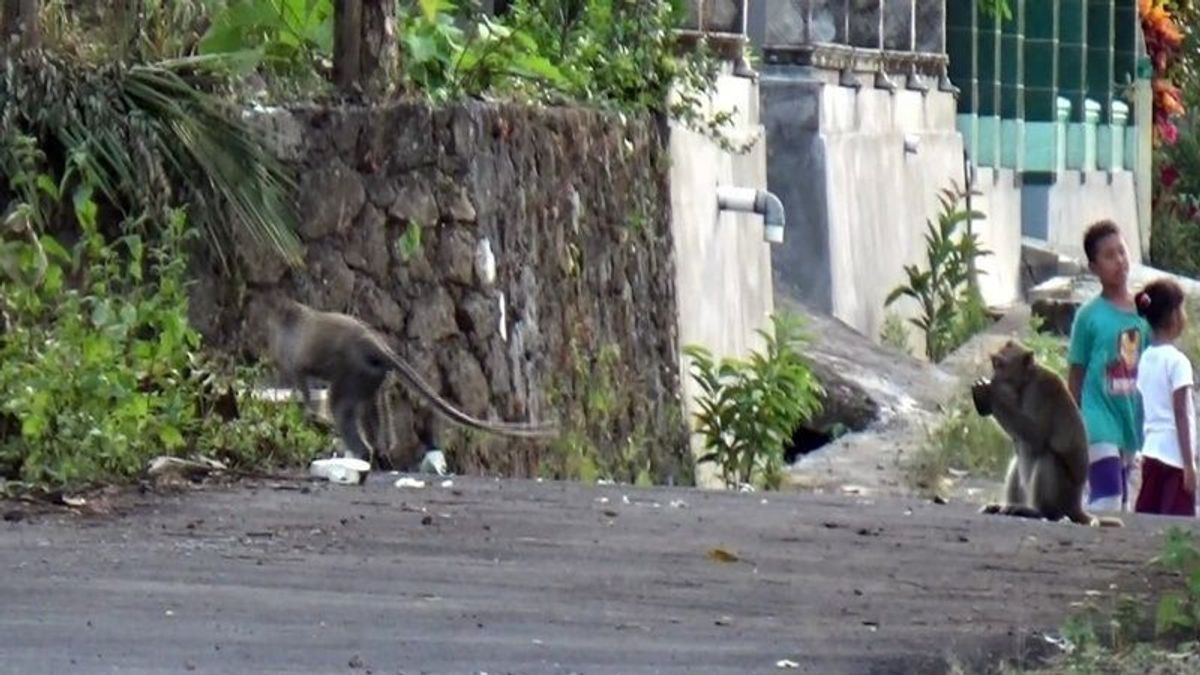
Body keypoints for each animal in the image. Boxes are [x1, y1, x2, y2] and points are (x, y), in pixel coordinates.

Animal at [969, 341, 1118, 526]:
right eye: (994, 363)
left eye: (1000, 365)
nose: (994, 377)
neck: (1025, 382)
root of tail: (1075, 505)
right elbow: (1018, 439)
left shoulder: (1040, 390)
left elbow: (1037, 437)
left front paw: (989, 394)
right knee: (1018, 460)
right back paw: (1007, 506)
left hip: (1063, 494)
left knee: (1048, 458)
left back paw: (1039, 512)